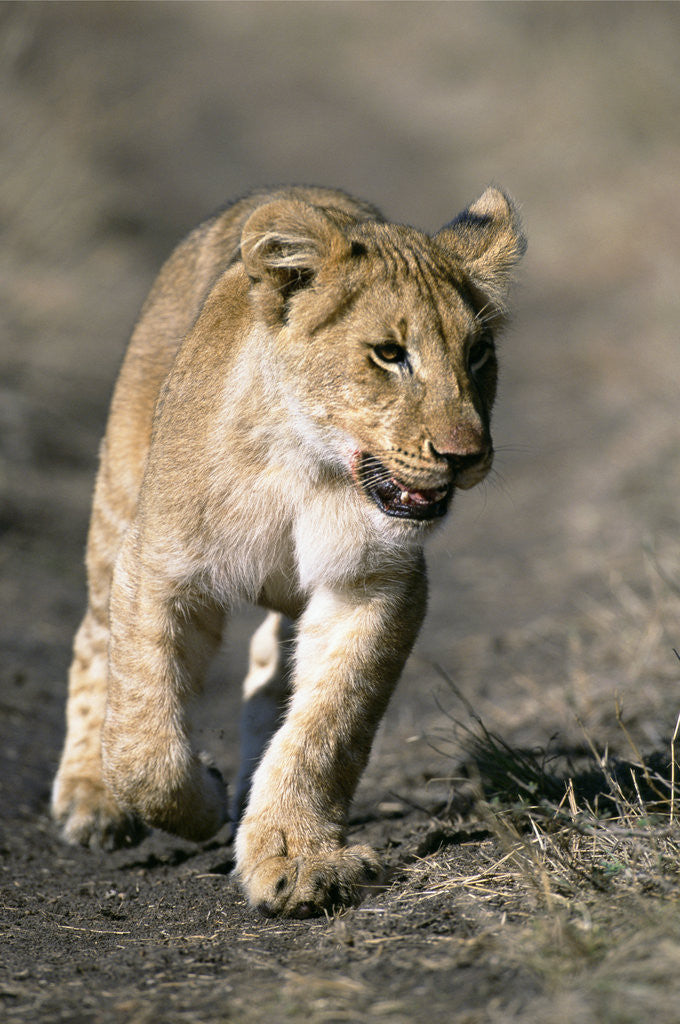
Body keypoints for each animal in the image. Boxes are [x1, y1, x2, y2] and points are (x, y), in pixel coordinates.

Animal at [51, 185, 526, 917]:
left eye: (477, 353)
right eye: (389, 354)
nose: (465, 456)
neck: (307, 470)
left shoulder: (373, 584)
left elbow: (328, 725)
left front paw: (295, 857)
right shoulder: (160, 567)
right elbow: (142, 740)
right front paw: (202, 799)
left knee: (267, 672)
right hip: (119, 500)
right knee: (93, 641)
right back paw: (91, 799)